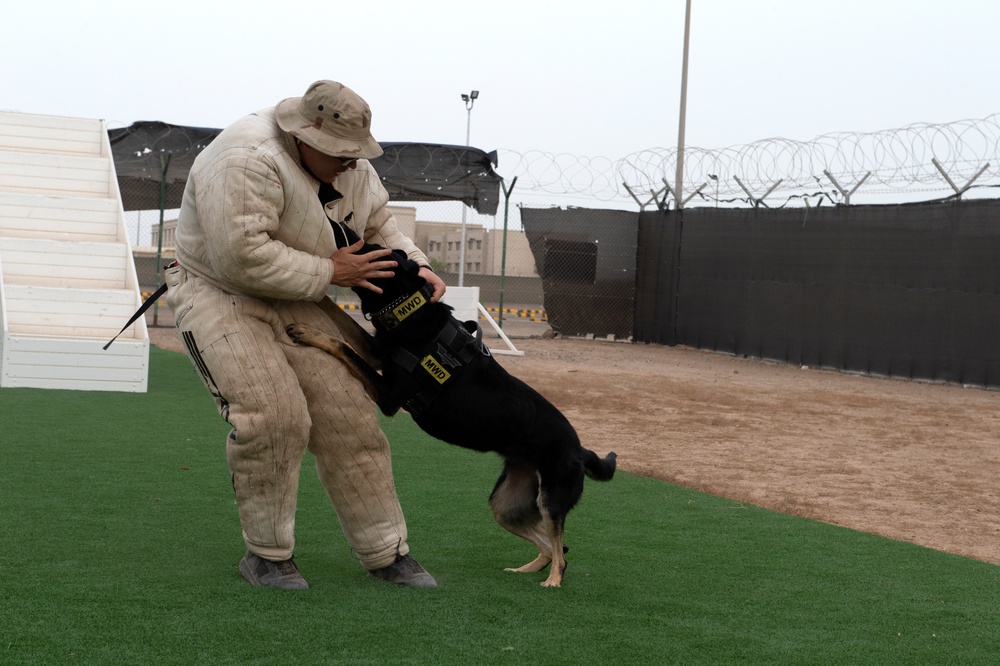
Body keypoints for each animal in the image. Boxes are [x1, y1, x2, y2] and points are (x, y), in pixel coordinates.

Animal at [286, 223, 616, 588]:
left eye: (371, 250)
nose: (342, 224)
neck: (412, 308)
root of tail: (580, 449)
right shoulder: (377, 351)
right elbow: (343, 325)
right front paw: (315, 300)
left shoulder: (388, 394)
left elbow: (342, 345)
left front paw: (307, 331)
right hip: (506, 504)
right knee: (553, 545)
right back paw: (526, 569)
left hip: (552, 498)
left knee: (561, 549)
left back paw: (553, 581)